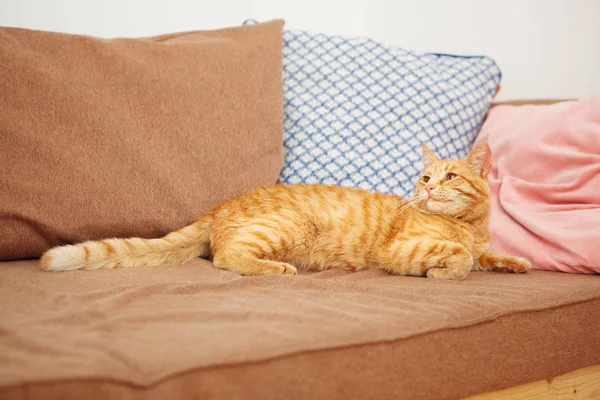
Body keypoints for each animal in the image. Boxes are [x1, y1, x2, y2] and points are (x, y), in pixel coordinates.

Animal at [41, 142, 528, 280]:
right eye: (426, 177)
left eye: (450, 177)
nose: (427, 189)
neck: (468, 225)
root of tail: (218, 207)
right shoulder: (400, 252)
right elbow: (460, 259)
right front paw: (446, 272)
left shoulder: (478, 243)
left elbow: (483, 256)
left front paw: (513, 261)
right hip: (288, 227)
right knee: (227, 257)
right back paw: (275, 269)